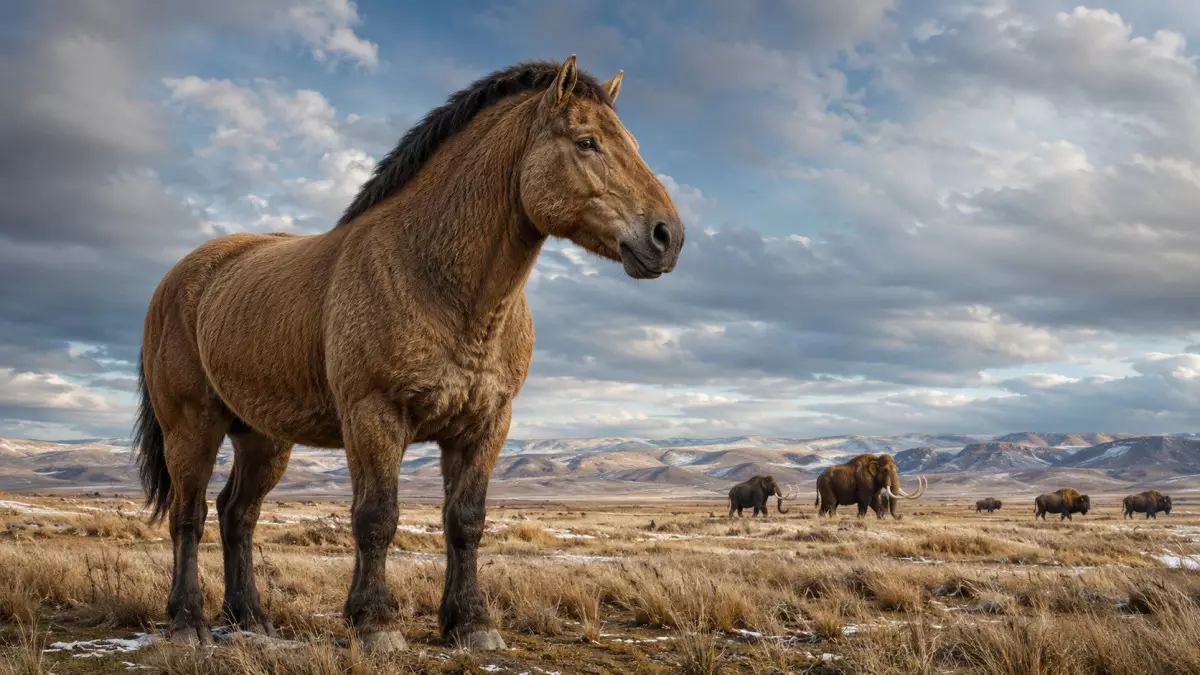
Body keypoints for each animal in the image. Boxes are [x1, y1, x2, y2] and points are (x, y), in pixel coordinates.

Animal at [133, 55, 684, 652]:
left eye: (632, 143)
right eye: (587, 142)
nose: (668, 236)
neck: (431, 277)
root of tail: (179, 277)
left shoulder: (484, 426)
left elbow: (466, 522)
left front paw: (471, 623)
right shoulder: (374, 417)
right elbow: (376, 518)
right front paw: (375, 624)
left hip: (263, 438)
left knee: (239, 515)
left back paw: (251, 619)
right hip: (193, 426)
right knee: (189, 515)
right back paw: (187, 622)